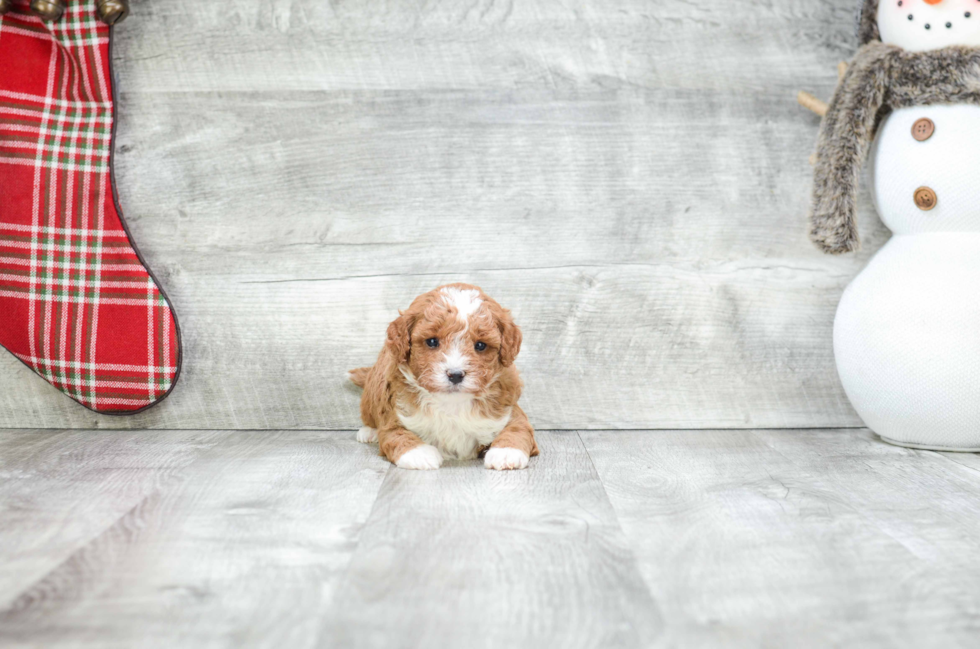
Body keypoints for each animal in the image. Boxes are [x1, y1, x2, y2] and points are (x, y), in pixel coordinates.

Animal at [350, 284, 540, 470]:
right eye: (432, 341)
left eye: (480, 345)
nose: (455, 375)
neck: (452, 403)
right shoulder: (393, 415)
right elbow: (396, 435)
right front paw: (420, 454)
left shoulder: (510, 411)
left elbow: (518, 429)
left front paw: (506, 453)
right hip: (372, 394)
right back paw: (369, 432)